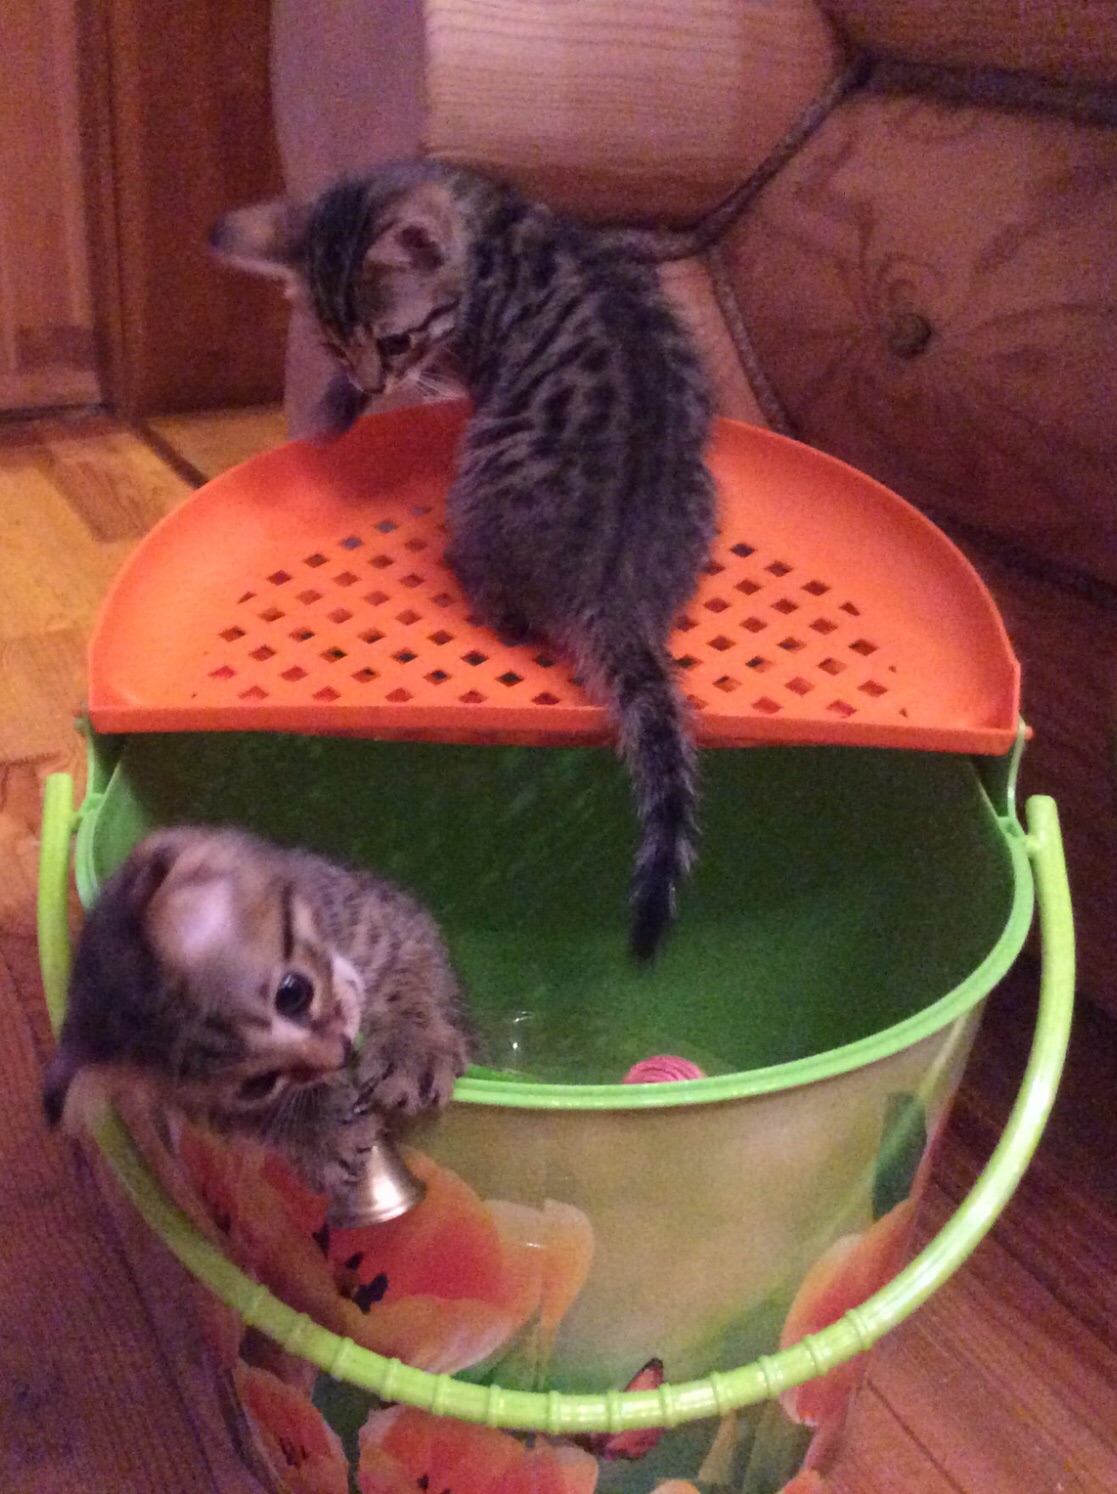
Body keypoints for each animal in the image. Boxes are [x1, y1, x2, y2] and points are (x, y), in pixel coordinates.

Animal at [43, 826, 474, 1217]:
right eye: (258, 1085)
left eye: (293, 993)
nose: (339, 1053)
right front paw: (319, 1129)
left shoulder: (387, 918)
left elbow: (410, 976)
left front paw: (413, 1048)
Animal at [211, 160, 717, 959]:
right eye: (334, 341)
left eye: (393, 341)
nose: (375, 380)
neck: (487, 225)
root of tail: (614, 584)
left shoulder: (459, 352)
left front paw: (339, 408)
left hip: (479, 477)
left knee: (506, 611)